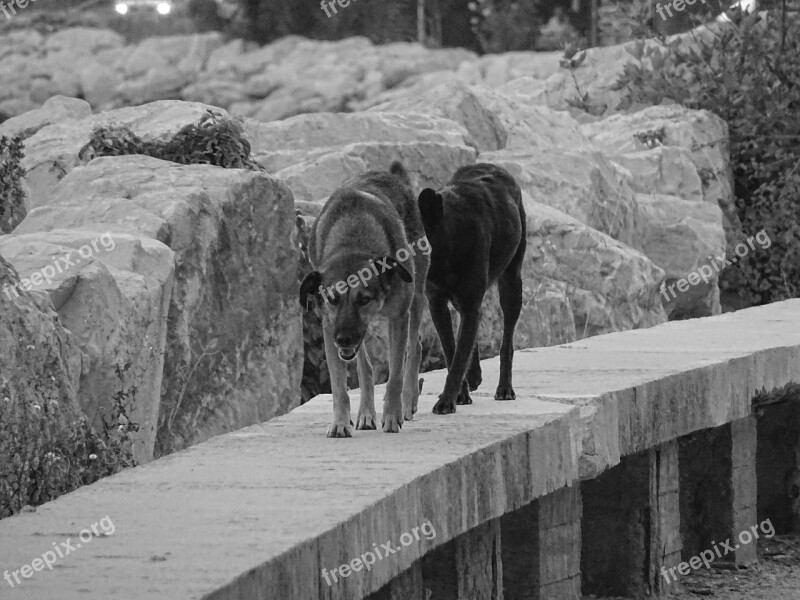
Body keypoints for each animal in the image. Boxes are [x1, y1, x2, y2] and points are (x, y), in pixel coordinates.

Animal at [418, 166, 524, 414]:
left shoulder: (468, 303)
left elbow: (458, 357)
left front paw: (447, 401)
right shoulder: (437, 304)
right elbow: (452, 351)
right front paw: (460, 394)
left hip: (511, 284)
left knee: (506, 345)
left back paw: (505, 388)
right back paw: (474, 376)